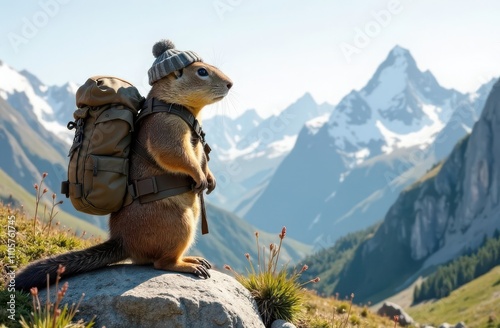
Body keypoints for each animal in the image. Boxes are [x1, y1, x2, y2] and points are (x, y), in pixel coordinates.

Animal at [14, 39, 233, 292]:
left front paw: (210, 177)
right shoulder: (166, 125)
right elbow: (175, 153)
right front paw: (199, 176)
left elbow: (201, 158)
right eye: (202, 71)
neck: (176, 106)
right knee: (161, 263)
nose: (231, 83)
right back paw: (189, 265)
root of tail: (123, 242)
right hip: (181, 223)